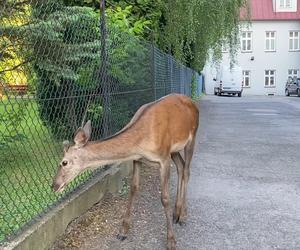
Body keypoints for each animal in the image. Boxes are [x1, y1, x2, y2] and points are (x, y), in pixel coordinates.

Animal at [52, 93, 199, 249]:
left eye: (64, 162)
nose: (54, 185)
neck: (142, 142)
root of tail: (192, 103)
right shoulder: (138, 159)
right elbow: (133, 188)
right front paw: (123, 231)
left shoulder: (163, 158)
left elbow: (164, 198)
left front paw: (171, 241)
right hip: (174, 150)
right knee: (181, 167)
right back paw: (176, 213)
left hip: (191, 137)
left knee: (187, 170)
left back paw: (183, 216)